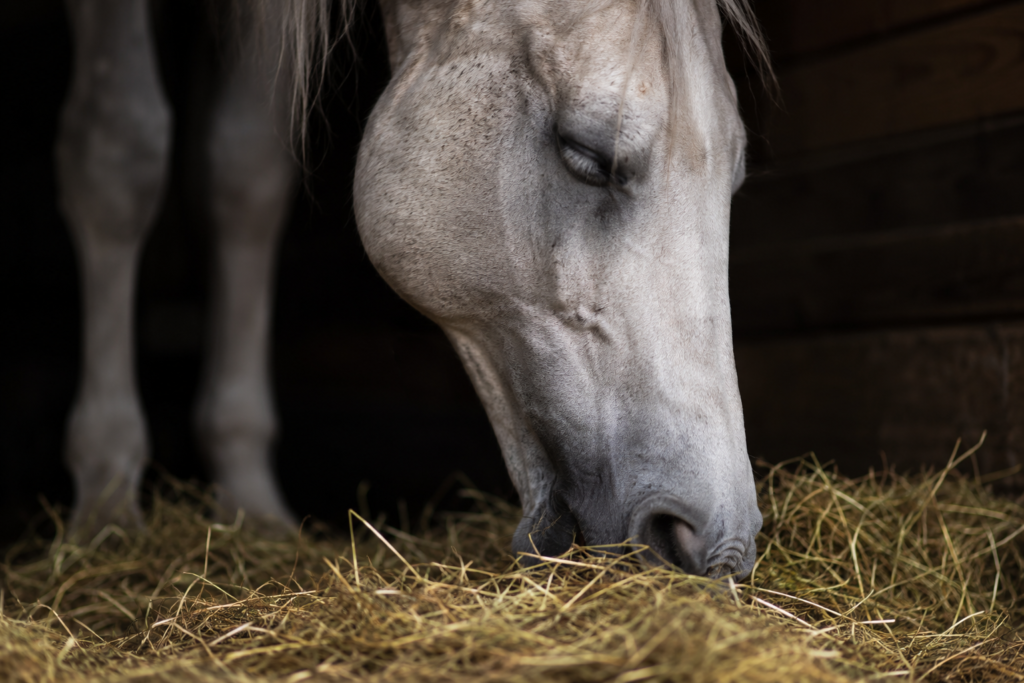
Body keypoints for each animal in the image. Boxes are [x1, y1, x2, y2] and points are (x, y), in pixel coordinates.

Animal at [57, 0, 768, 579]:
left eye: (736, 178)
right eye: (587, 155)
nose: (714, 546)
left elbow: (245, 172)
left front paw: (250, 505)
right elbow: (119, 152)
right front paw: (106, 506)